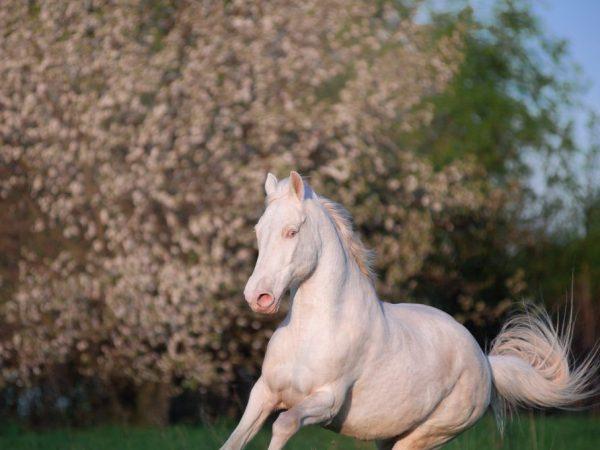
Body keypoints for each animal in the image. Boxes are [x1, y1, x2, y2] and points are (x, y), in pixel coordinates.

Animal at [220, 171, 596, 450]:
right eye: (258, 231)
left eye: (292, 231)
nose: (258, 296)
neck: (315, 330)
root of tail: (486, 364)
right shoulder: (263, 393)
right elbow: (234, 441)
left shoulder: (326, 401)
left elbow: (284, 424)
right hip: (388, 436)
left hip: (424, 436)